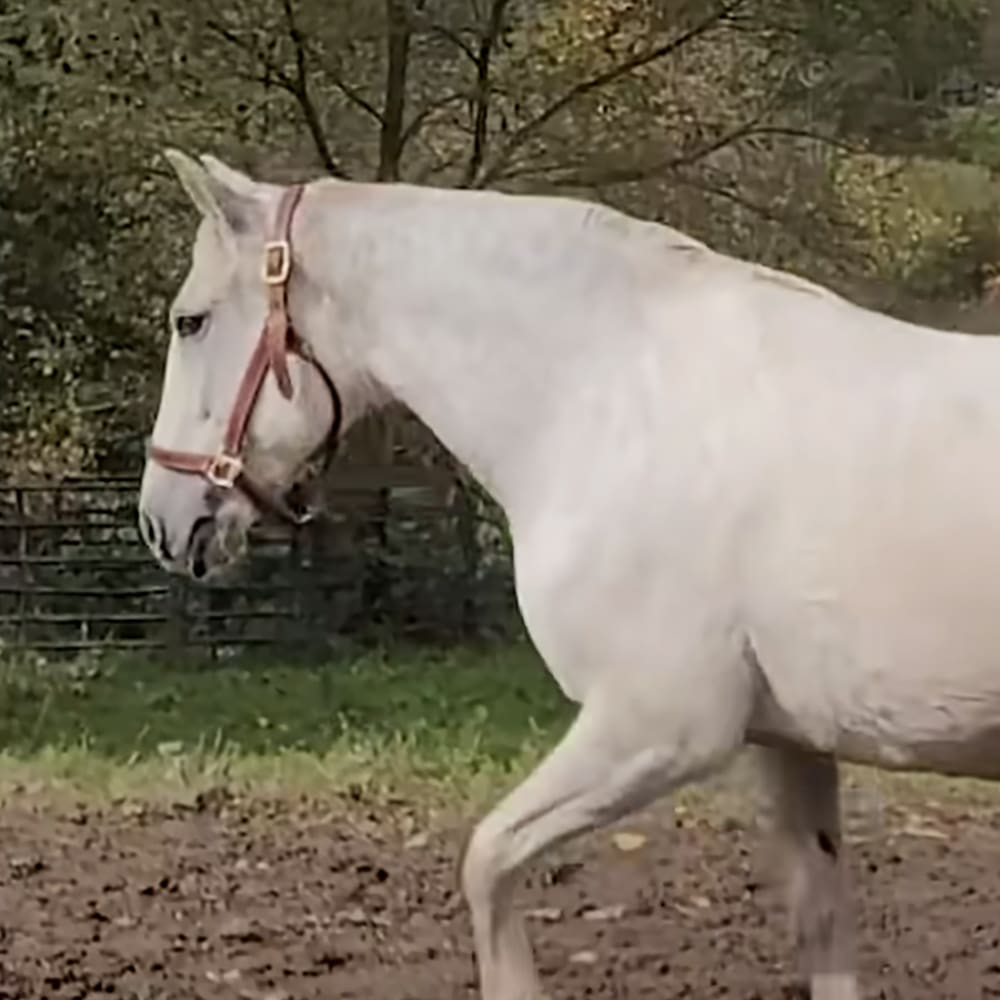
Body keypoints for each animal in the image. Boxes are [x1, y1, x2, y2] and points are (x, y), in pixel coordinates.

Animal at [138, 148, 1000, 1000]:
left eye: (191, 320)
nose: (160, 522)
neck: (607, 399)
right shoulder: (788, 745)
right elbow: (821, 926)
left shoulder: (661, 729)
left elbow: (486, 860)